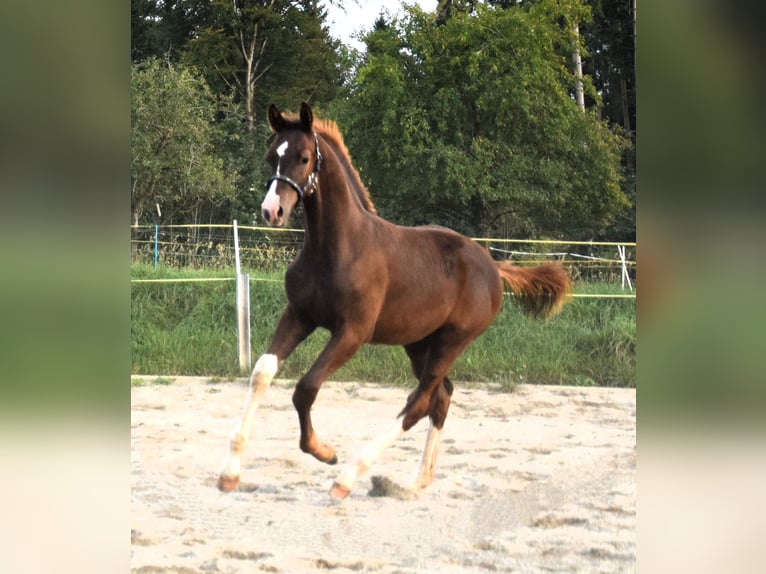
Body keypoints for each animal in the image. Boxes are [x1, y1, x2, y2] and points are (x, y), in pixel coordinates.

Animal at [218, 102, 571, 499]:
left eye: (304, 157)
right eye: (270, 157)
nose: (272, 211)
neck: (337, 247)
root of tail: (492, 266)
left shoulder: (352, 333)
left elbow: (306, 388)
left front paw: (324, 451)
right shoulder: (299, 315)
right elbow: (262, 373)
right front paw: (229, 474)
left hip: (453, 340)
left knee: (419, 401)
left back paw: (347, 478)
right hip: (419, 343)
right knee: (441, 396)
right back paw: (416, 482)